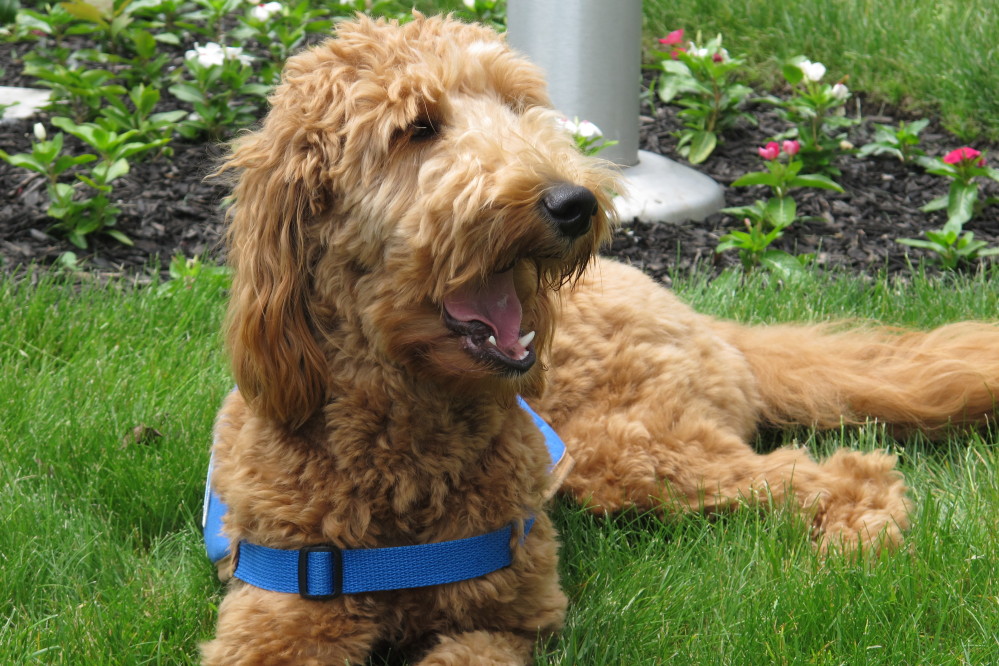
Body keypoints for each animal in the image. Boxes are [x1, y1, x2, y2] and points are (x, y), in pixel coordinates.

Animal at [201, 13, 999, 660]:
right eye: (416, 127)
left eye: (520, 107)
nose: (574, 201)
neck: (405, 447)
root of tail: (697, 316)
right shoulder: (276, 618)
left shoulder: (504, 620)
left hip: (630, 447)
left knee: (841, 471)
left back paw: (857, 541)